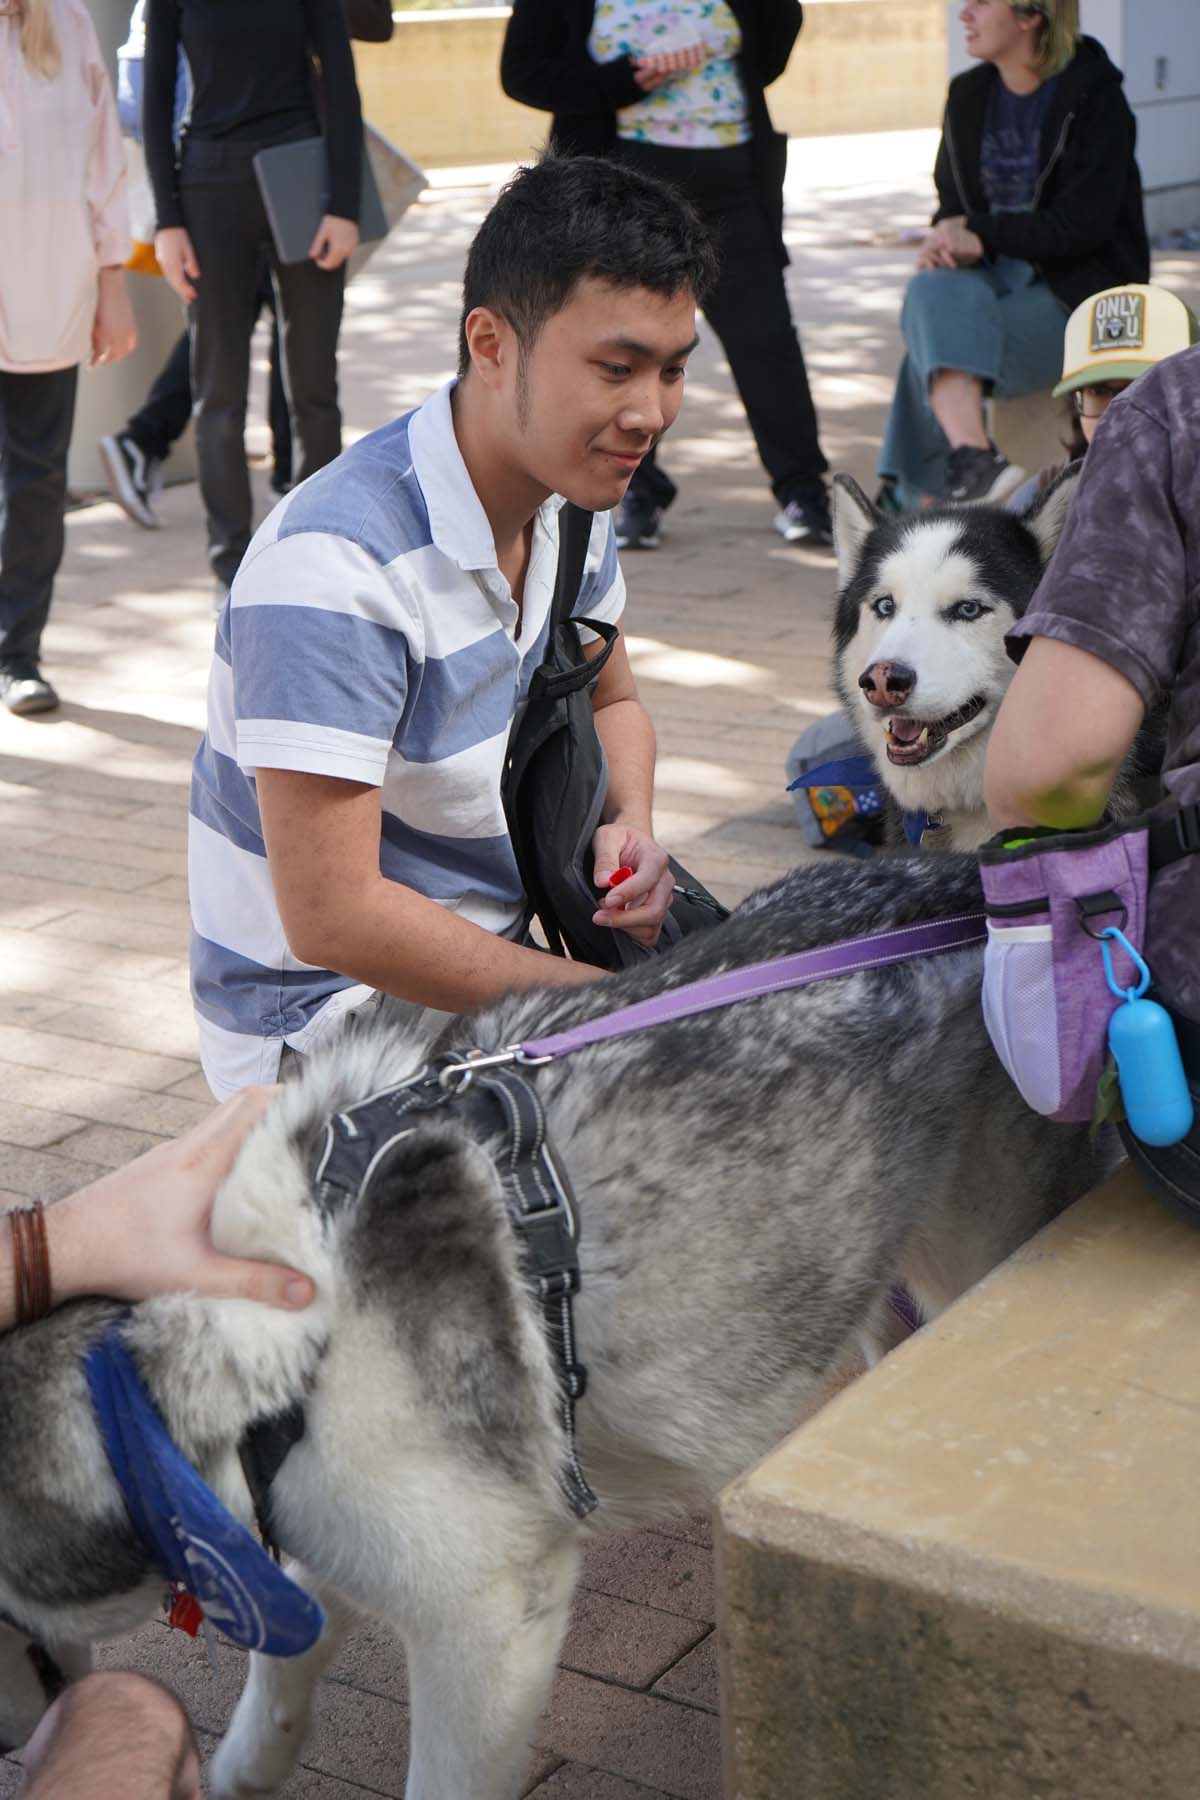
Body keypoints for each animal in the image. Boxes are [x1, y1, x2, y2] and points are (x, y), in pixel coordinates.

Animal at [0, 849, 1122, 1792]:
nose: (23, 1743)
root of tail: (973, 871)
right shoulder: (329, 1536)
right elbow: (276, 1689)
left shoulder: (487, 1622)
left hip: (977, 1251)